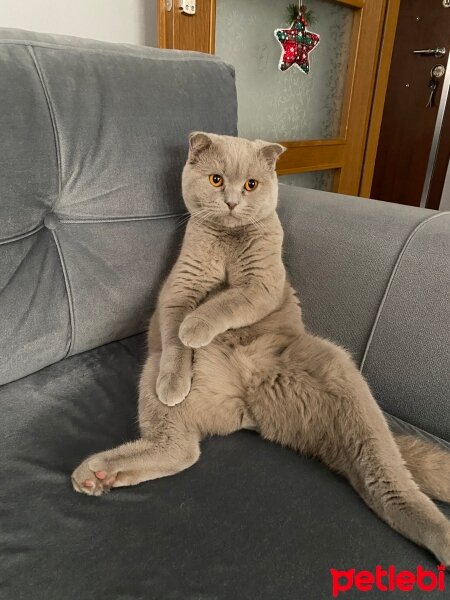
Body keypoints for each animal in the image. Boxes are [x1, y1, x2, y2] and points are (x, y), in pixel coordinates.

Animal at [72, 132, 450, 568]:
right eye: (216, 180)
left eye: (251, 184)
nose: (232, 201)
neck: (228, 241)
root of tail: (246, 408)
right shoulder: (179, 289)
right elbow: (175, 334)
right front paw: (178, 369)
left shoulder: (262, 285)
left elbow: (224, 303)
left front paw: (195, 327)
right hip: (152, 370)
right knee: (181, 449)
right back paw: (98, 474)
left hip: (342, 380)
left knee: (390, 480)